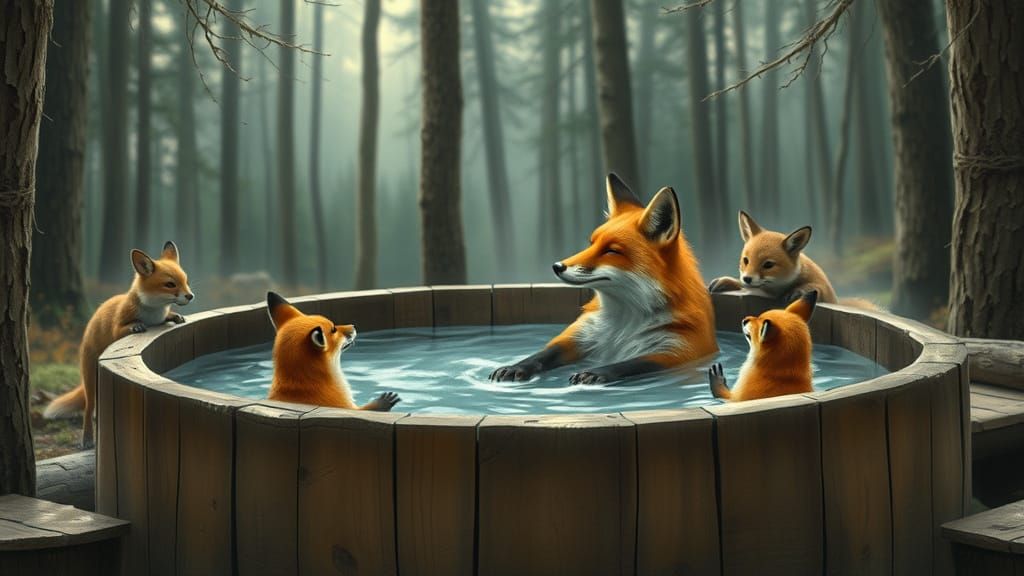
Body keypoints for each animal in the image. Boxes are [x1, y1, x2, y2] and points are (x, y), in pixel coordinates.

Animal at [44, 241, 194, 448]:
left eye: (186, 281)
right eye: (170, 284)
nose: (190, 296)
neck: (152, 313)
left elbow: (168, 317)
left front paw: (175, 316)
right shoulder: (117, 327)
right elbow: (127, 326)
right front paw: (137, 325)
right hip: (91, 380)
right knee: (88, 408)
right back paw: (88, 439)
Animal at [490, 173, 717, 384]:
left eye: (611, 251)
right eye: (591, 243)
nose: (557, 266)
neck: (622, 324)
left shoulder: (676, 351)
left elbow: (627, 365)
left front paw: (596, 373)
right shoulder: (578, 336)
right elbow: (541, 355)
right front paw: (515, 367)